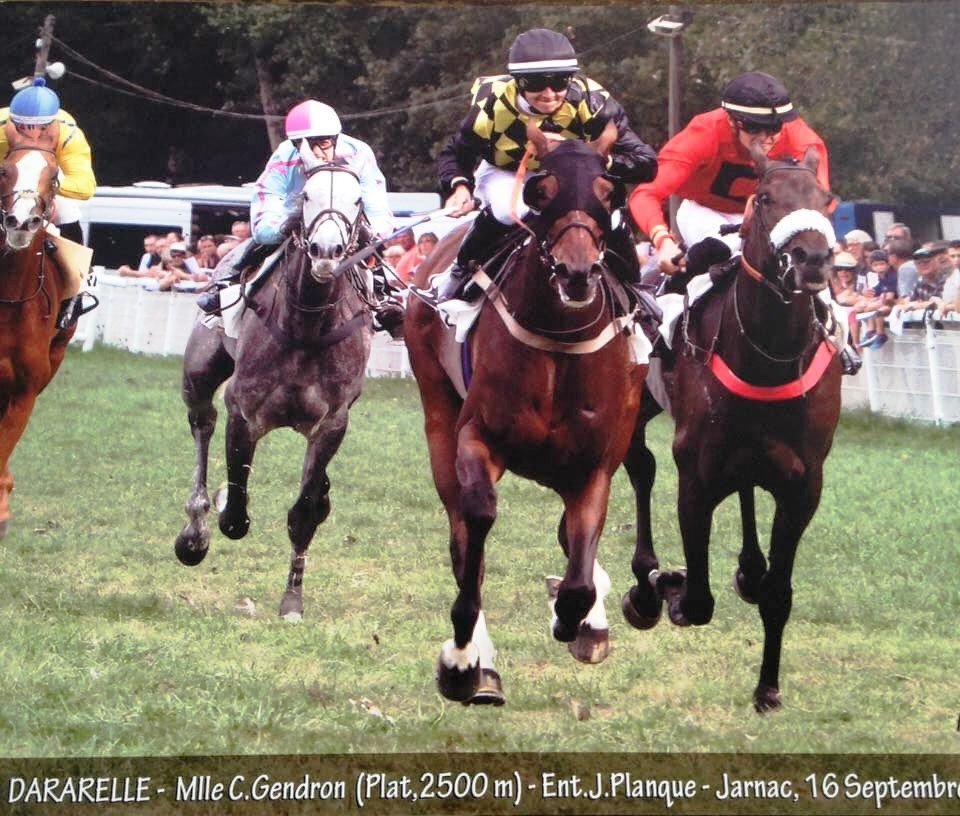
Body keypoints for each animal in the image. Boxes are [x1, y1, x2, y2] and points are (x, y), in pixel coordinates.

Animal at [174, 152, 374, 620]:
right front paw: (216, 515)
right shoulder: (244, 412)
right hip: (199, 376)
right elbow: (235, 511)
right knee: (202, 424)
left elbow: (305, 513)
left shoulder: (330, 425)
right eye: (306, 196)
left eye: (357, 200)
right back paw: (195, 530)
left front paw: (292, 600)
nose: (326, 251)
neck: (307, 326)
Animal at [405, 121, 648, 706]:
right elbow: (477, 527)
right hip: (436, 412)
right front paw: (462, 660)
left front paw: (578, 618)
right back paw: (479, 665)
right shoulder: (477, 439)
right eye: (541, 191)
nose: (577, 273)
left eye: (608, 193)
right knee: (462, 534)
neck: (559, 342)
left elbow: (579, 572)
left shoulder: (594, 467)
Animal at [620, 144, 842, 712]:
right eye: (764, 197)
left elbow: (779, 595)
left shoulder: (804, 486)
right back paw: (646, 582)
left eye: (827, 199)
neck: (769, 358)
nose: (812, 259)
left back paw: (749, 567)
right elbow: (698, 599)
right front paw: (666, 587)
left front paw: (768, 688)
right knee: (640, 468)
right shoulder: (696, 478)